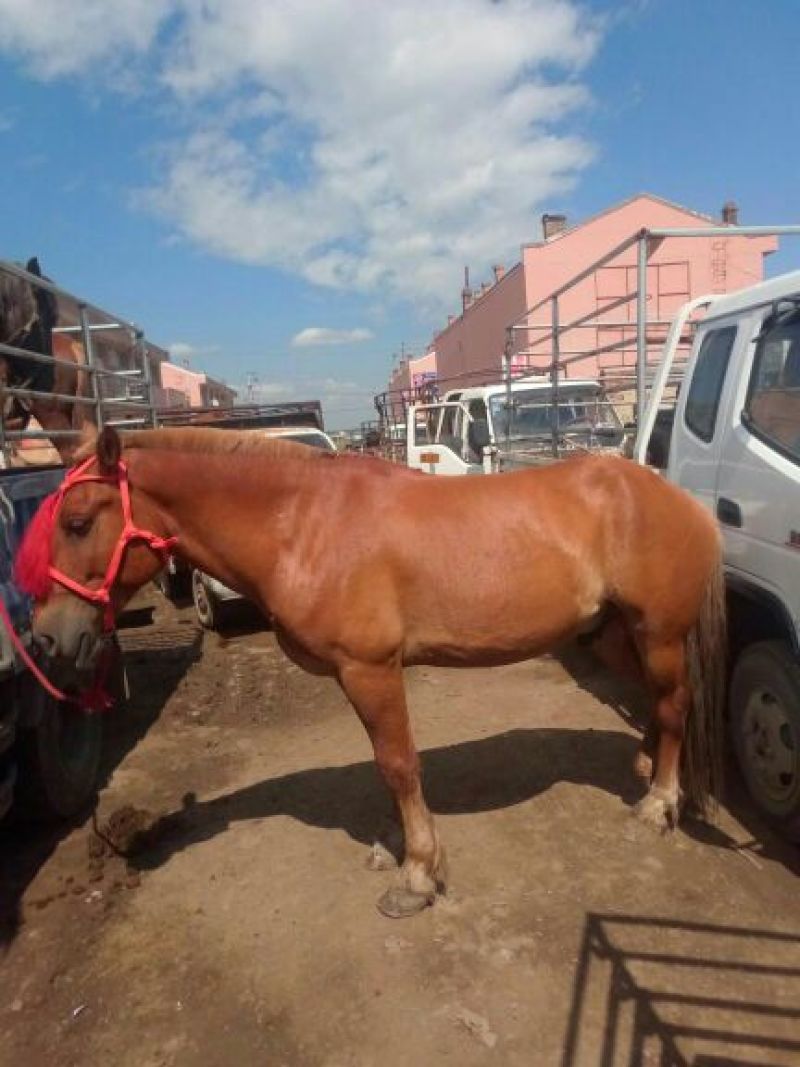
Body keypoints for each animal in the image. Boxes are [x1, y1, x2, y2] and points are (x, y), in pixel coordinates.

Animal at [15, 426, 726, 918]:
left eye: (77, 522)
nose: (50, 638)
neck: (302, 524)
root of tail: (681, 498)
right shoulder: (355, 676)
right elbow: (385, 765)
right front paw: (394, 845)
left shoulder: (372, 669)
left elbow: (399, 763)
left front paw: (418, 874)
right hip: (610, 633)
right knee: (657, 702)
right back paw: (646, 772)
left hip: (658, 632)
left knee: (674, 704)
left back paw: (659, 803)